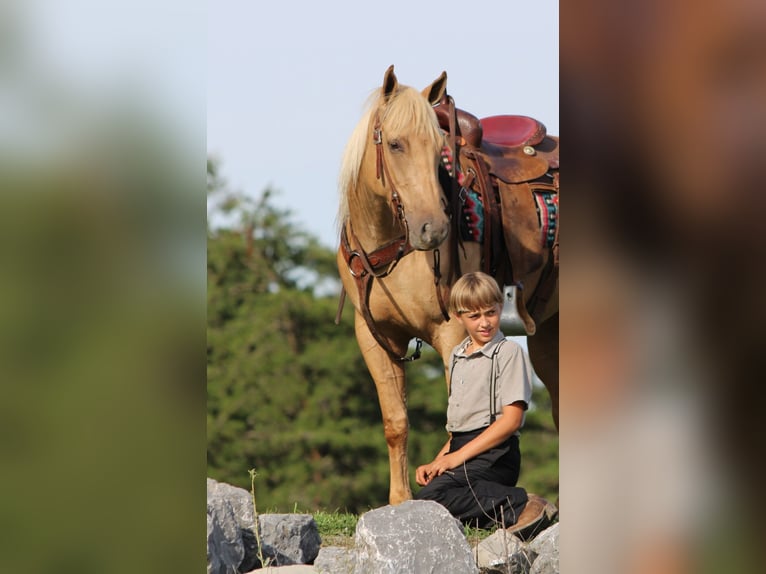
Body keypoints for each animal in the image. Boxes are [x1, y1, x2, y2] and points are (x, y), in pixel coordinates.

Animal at [336, 65, 558, 505]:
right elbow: (396, 422)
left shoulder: (452, 330)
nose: (433, 228)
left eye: (438, 148)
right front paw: (399, 502)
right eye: (395, 144)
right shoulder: (373, 335)